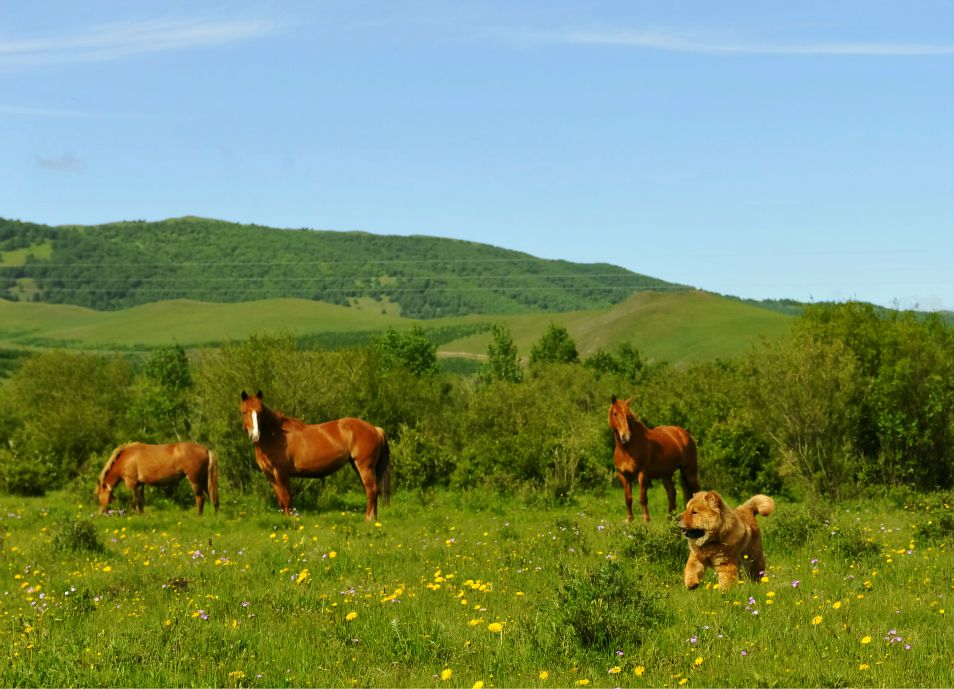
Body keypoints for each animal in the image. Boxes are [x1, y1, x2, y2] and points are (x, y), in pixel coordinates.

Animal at [240, 390, 392, 520]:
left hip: (364, 467)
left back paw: (368, 519)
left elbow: (286, 497)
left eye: (260, 412)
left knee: (372, 490)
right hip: (358, 466)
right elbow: (280, 499)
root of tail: (376, 429)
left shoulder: (281, 473)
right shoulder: (271, 475)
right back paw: (374, 518)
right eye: (244, 412)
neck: (276, 435)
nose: (255, 435)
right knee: (372, 490)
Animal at [608, 392, 696, 520]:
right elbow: (628, 498)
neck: (627, 449)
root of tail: (686, 434)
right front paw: (629, 519)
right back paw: (670, 518)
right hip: (666, 474)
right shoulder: (623, 475)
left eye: (628, 416)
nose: (626, 436)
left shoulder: (642, 474)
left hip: (690, 471)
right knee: (672, 493)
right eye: (615, 413)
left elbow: (643, 498)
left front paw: (646, 519)